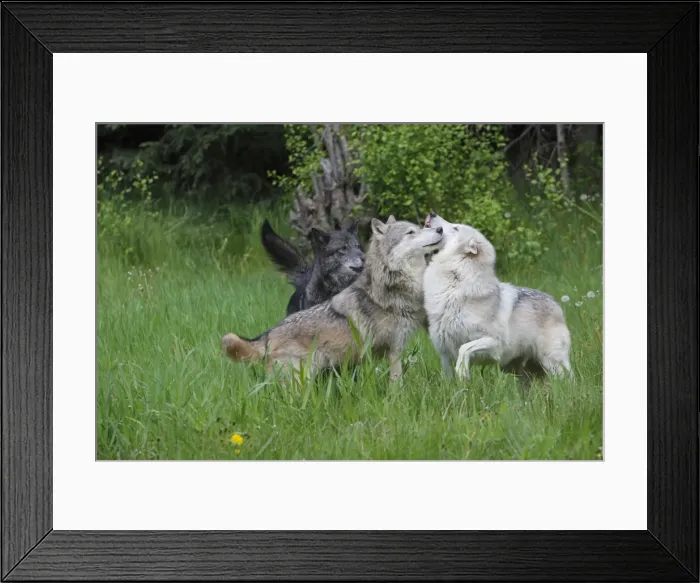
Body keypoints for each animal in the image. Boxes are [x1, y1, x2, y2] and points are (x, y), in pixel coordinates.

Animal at [224, 216, 444, 382]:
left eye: (420, 227)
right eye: (411, 232)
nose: (440, 229)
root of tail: (268, 334)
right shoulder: (394, 349)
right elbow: (396, 383)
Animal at [423, 212, 572, 382]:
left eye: (455, 228)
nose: (432, 213)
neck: (454, 284)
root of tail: (556, 304)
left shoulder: (493, 343)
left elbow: (464, 348)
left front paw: (462, 371)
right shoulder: (445, 355)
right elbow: (449, 381)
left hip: (553, 364)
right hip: (525, 374)